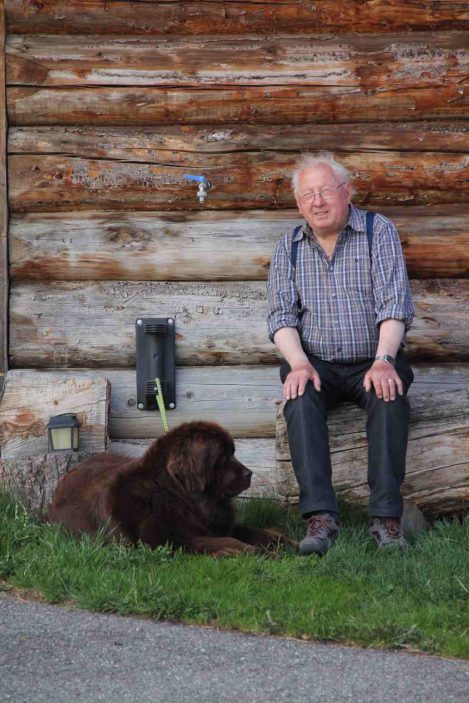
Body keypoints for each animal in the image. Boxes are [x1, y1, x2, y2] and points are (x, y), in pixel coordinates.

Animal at [46, 421, 294, 556]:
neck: (179, 496)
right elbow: (222, 541)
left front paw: (284, 541)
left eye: (232, 452)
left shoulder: (218, 524)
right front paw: (251, 551)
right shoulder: (167, 539)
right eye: (223, 457)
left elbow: (252, 531)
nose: (249, 473)